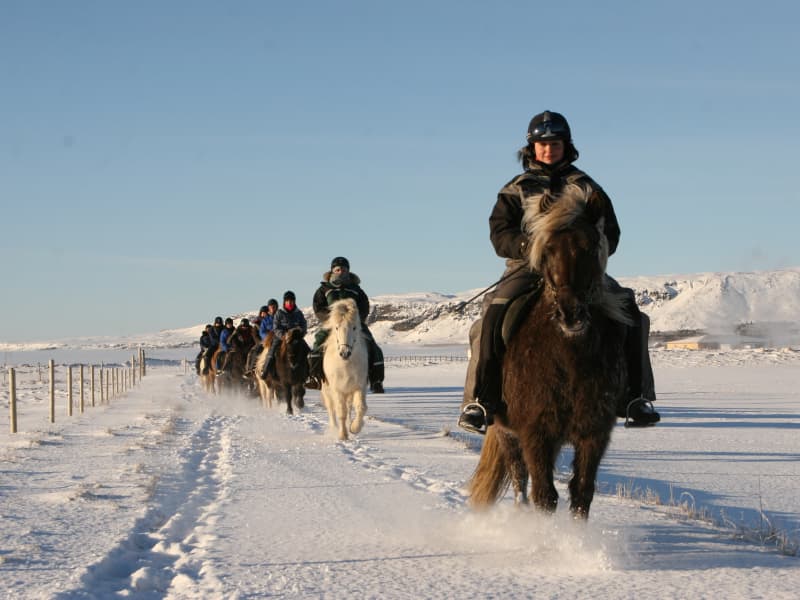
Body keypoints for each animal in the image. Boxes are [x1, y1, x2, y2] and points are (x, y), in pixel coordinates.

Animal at [320, 296, 370, 440]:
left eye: (354, 327)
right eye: (336, 327)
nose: (345, 353)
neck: (346, 365)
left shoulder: (359, 386)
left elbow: (361, 408)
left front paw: (354, 428)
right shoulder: (337, 388)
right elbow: (340, 411)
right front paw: (342, 435)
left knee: (349, 408)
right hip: (326, 389)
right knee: (332, 409)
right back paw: (334, 427)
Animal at [468, 185, 632, 516]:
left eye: (591, 246)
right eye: (547, 250)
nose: (571, 314)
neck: (569, 358)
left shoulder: (594, 433)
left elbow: (581, 494)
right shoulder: (536, 432)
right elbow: (544, 496)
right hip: (506, 431)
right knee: (519, 478)